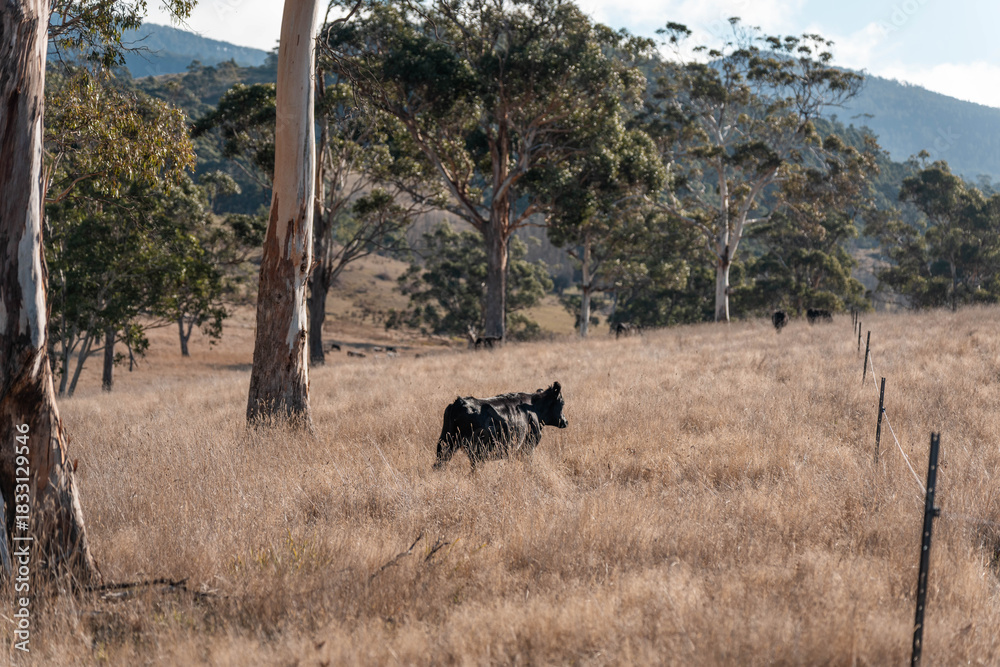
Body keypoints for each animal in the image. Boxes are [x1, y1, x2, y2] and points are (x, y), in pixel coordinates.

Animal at [433, 382, 568, 471]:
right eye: (562, 403)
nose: (565, 421)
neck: (533, 407)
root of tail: (459, 403)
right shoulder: (528, 446)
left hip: (446, 442)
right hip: (475, 450)